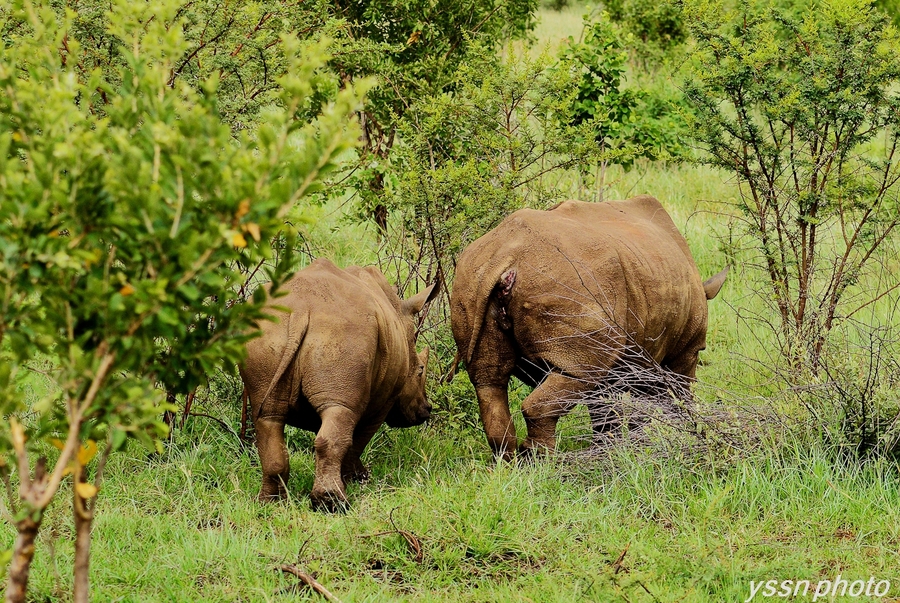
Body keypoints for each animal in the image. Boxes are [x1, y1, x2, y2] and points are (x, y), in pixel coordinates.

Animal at [237, 258, 438, 512]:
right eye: (420, 370)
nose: (427, 410)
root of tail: (301, 310)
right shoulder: (382, 401)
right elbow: (357, 439)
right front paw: (359, 478)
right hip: (346, 333)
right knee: (337, 418)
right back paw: (332, 503)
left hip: (266, 332)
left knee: (268, 418)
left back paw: (270, 503)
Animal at [454, 196, 728, 460]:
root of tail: (504, 257)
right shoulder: (683, 350)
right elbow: (672, 396)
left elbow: (606, 407)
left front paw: (611, 449)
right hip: (568, 283)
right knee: (576, 375)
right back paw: (543, 463)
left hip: (471, 279)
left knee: (489, 383)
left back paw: (510, 464)